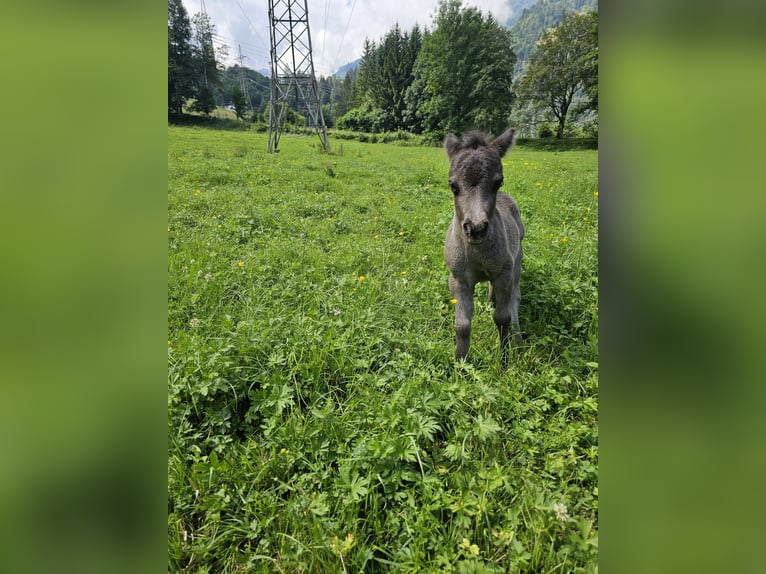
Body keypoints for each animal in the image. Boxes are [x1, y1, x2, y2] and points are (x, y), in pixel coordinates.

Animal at [448, 127, 524, 366]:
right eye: (453, 185)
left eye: (498, 182)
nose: (476, 228)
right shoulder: (458, 278)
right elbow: (462, 324)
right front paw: (460, 365)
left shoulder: (503, 273)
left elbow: (502, 317)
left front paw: (504, 361)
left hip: (516, 263)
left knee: (514, 298)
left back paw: (518, 338)